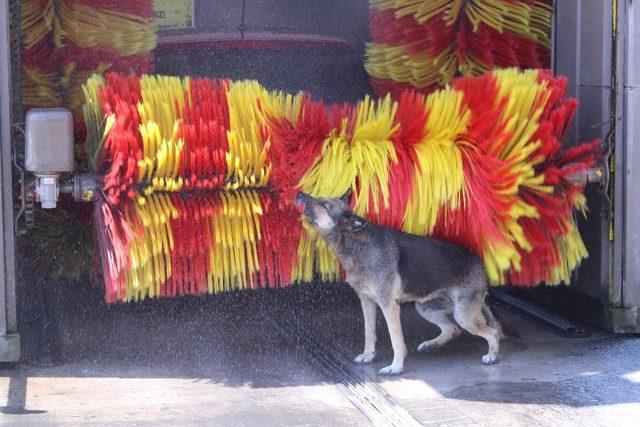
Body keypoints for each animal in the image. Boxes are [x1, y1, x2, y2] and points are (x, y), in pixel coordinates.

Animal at [296, 192, 504, 376]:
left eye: (323, 205)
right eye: (321, 199)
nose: (299, 194)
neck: (355, 243)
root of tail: (478, 260)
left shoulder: (389, 306)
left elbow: (396, 340)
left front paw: (395, 367)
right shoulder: (367, 302)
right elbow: (369, 332)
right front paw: (368, 355)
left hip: (463, 315)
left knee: (492, 332)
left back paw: (492, 356)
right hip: (425, 307)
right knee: (452, 329)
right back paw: (431, 344)